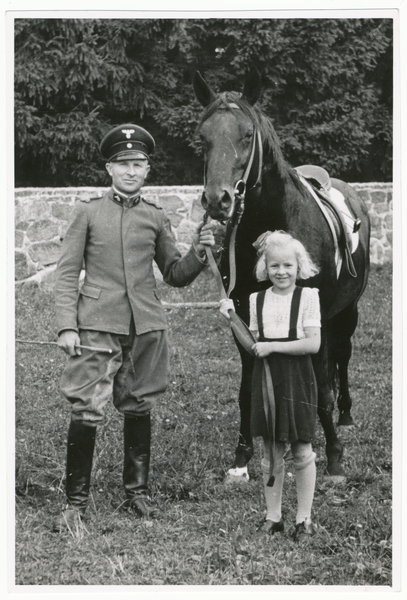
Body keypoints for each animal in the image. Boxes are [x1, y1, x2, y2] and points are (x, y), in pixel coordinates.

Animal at [193, 70, 372, 480]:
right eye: (202, 137)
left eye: (247, 134)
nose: (218, 200)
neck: (275, 224)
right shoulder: (243, 317)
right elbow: (248, 388)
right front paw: (241, 457)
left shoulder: (318, 315)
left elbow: (323, 389)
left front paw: (334, 457)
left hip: (347, 312)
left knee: (342, 355)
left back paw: (346, 415)